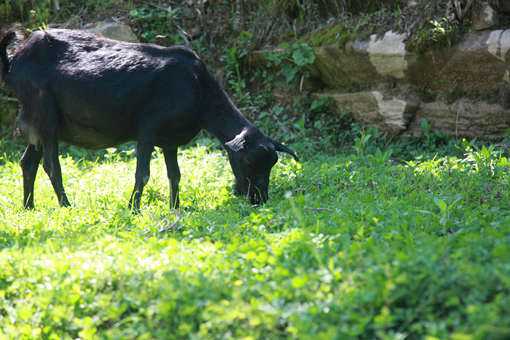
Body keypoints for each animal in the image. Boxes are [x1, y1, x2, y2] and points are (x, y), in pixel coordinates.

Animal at [0, 28, 296, 210]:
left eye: (271, 164)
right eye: (248, 161)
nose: (259, 199)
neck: (198, 88)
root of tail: (14, 60)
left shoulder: (170, 139)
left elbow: (175, 175)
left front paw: (175, 207)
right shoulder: (147, 131)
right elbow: (142, 173)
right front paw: (134, 209)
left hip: (38, 123)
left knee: (28, 162)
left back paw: (29, 207)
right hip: (45, 116)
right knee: (51, 165)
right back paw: (66, 206)